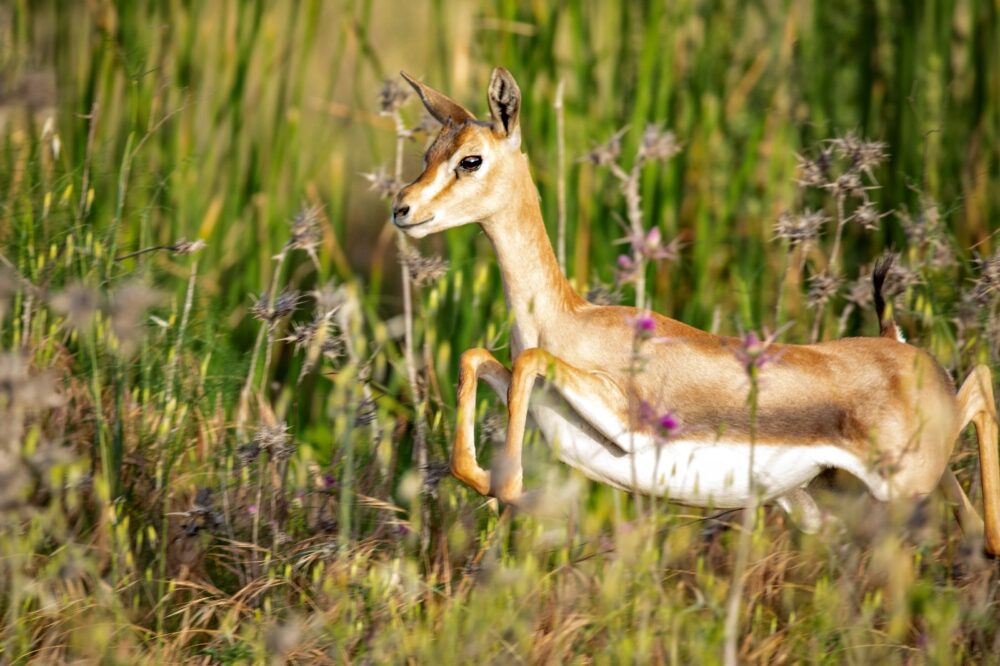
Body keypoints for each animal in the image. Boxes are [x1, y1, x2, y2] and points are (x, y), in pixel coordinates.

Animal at [392, 67, 1000, 554]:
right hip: (837, 497)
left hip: (906, 475)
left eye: (471, 159)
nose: (403, 208)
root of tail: (901, 349)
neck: (566, 319)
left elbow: (527, 363)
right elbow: (477, 359)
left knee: (980, 388)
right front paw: (496, 483)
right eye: (429, 153)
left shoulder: (623, 417)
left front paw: (519, 491)